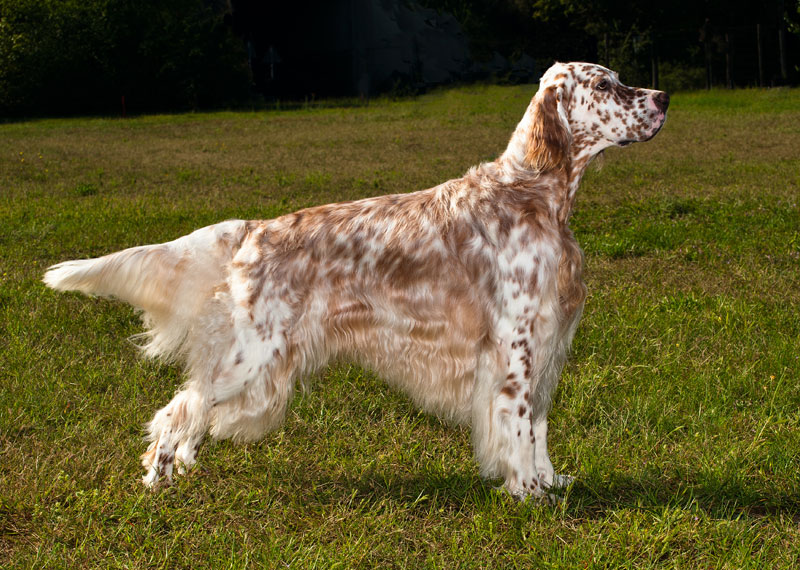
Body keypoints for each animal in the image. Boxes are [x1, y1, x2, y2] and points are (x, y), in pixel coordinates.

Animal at [43, 63, 668, 496]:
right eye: (606, 84)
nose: (664, 98)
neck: (534, 193)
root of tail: (254, 228)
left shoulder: (545, 344)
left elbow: (537, 426)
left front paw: (550, 485)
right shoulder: (515, 348)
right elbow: (517, 425)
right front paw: (529, 496)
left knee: (190, 408)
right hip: (252, 355)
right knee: (178, 408)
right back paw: (157, 480)